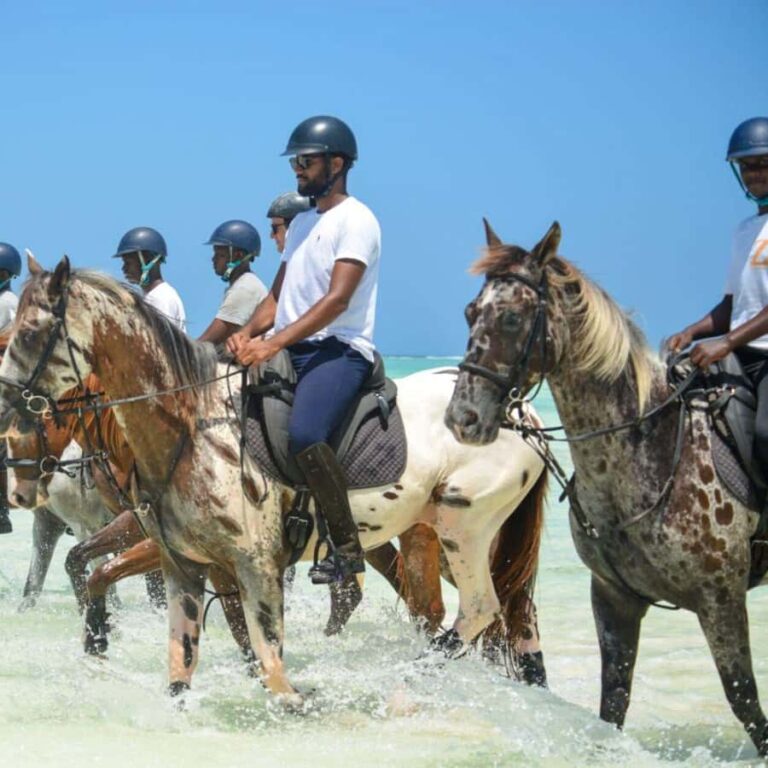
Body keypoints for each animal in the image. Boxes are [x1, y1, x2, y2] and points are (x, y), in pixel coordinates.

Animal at [0, 255, 546, 704]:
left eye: (28, 333)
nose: (20, 492)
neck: (190, 426)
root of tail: (523, 412)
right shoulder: (187, 560)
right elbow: (183, 655)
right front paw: (100, 643)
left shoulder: (249, 562)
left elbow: (265, 659)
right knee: (501, 610)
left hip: (461, 528)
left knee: (475, 609)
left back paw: (407, 677)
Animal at [445, 219, 768, 756]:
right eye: (470, 312)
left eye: (511, 318)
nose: (462, 419)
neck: (652, 450)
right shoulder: (614, 599)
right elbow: (613, 703)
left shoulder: (720, 599)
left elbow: (745, 701)